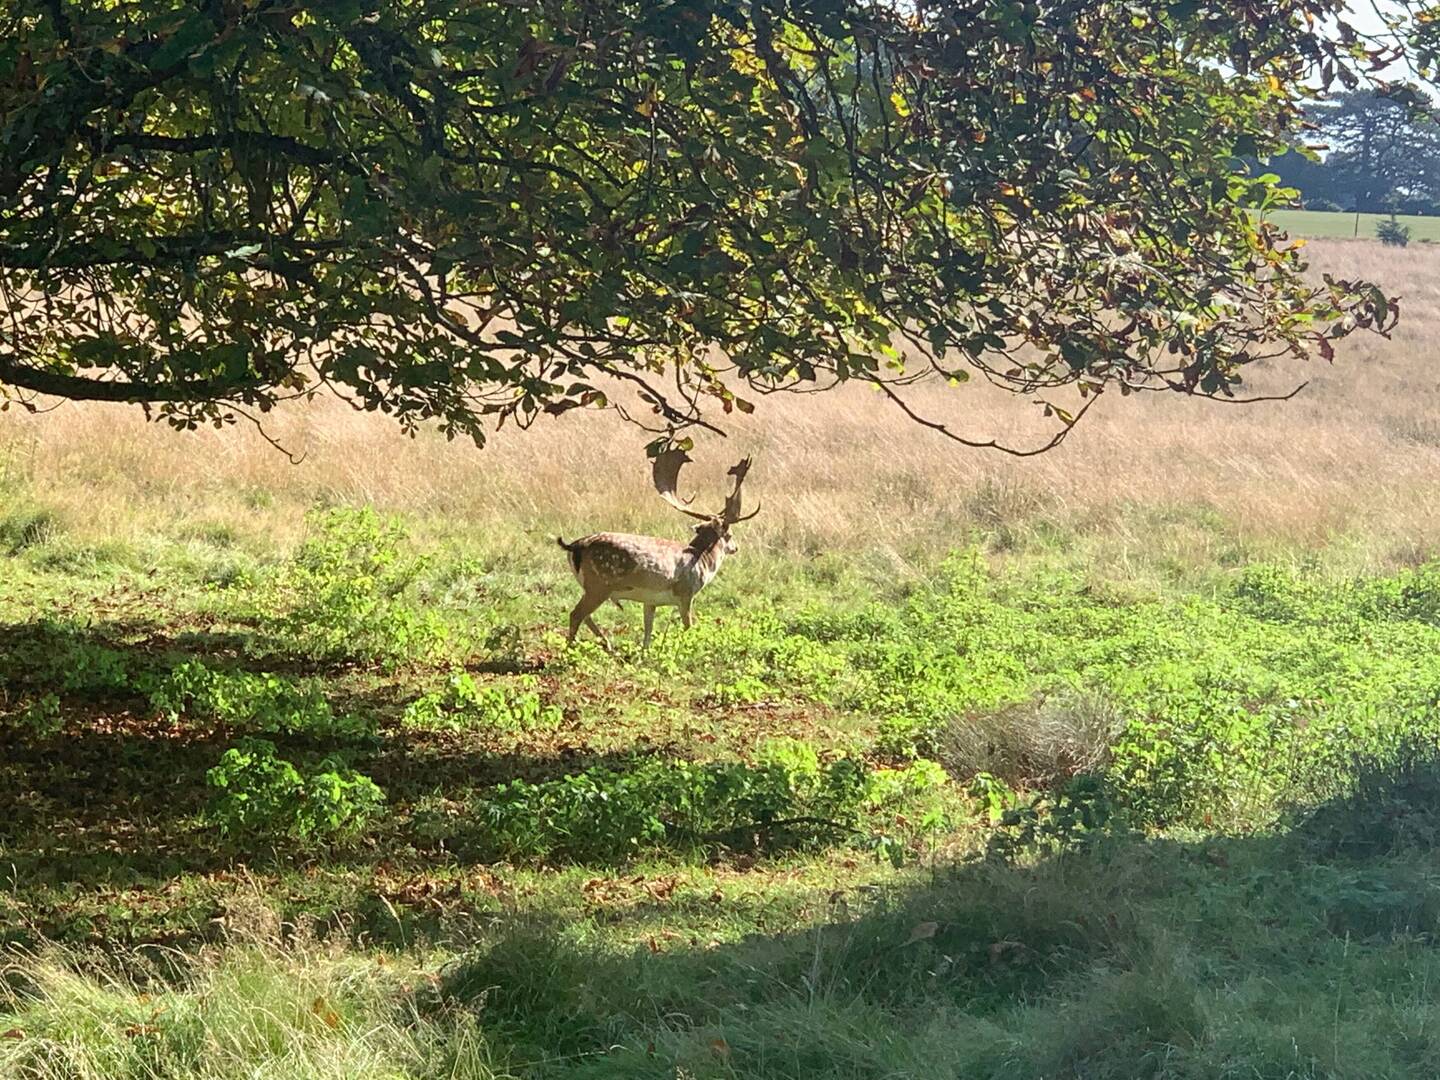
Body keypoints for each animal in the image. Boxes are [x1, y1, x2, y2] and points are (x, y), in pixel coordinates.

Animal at [556, 451, 759, 649]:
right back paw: (572, 647)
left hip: (592, 587)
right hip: (599, 584)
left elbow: (648, 632)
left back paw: (607, 644)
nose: (736, 548)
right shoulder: (686, 592)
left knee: (584, 615)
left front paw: (645, 654)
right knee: (576, 614)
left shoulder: (650, 601)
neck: (702, 561)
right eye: (729, 534)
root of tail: (575, 546)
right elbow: (688, 627)